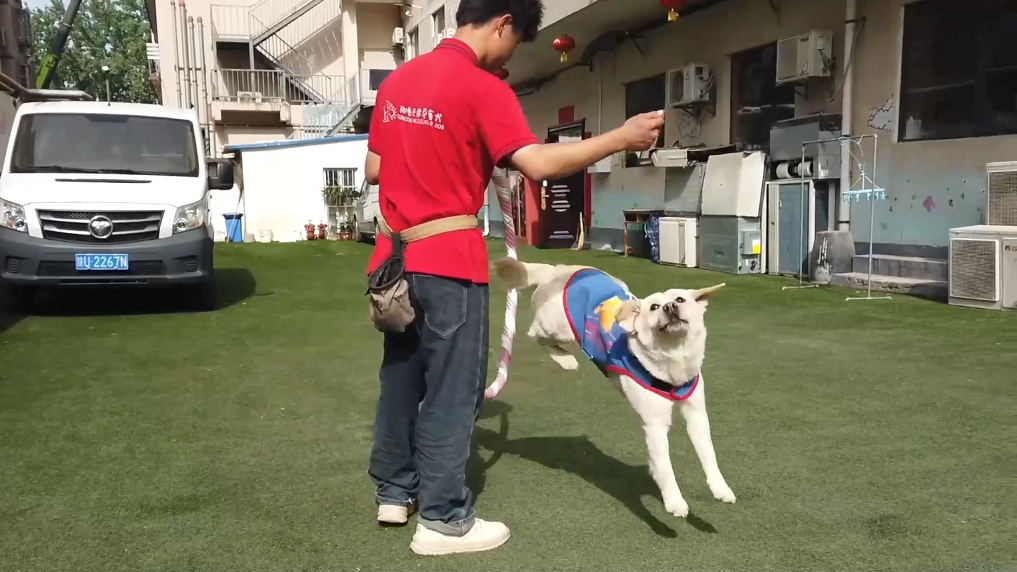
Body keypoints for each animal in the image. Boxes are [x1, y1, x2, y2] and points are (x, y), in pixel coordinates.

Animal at [493, 258, 736, 518]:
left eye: (680, 300)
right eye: (654, 307)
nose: (670, 307)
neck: (673, 361)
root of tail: (558, 270)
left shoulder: (696, 414)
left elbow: (708, 453)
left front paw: (720, 488)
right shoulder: (655, 425)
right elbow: (665, 467)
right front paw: (674, 501)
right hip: (558, 328)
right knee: (535, 334)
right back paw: (566, 360)